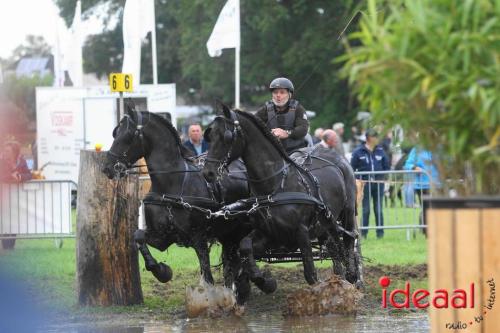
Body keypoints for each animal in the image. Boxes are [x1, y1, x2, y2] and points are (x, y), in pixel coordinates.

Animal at [103, 107, 254, 300]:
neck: (172, 185)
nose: (107, 167)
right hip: (227, 232)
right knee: (231, 262)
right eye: (115, 133)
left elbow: (207, 274)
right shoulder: (162, 236)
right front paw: (161, 271)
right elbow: (138, 236)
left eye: (128, 135)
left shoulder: (198, 238)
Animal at [203, 104, 364, 294]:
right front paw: (265, 282)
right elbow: (245, 247)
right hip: (325, 224)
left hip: (347, 213)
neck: (275, 186)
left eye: (227, 137)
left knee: (349, 240)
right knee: (334, 247)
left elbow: (310, 274)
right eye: (210, 135)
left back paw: (353, 276)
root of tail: (338, 157)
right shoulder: (270, 234)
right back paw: (338, 278)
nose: (207, 172)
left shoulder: (301, 232)